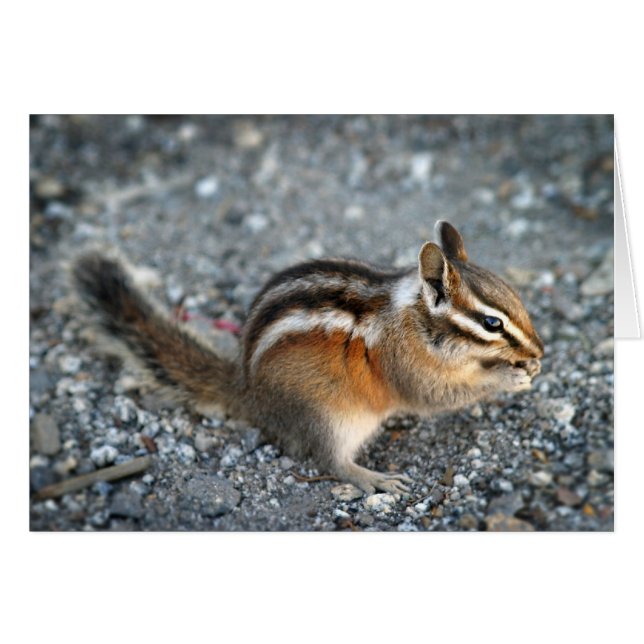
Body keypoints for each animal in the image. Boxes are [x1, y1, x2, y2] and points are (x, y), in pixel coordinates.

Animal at [72, 221, 543, 495]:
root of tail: (249, 393)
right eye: (492, 323)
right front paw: (507, 377)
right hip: (329, 418)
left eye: (516, 298)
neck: (413, 318)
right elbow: (437, 397)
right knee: (330, 461)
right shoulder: (409, 369)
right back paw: (374, 479)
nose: (540, 350)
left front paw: (526, 367)